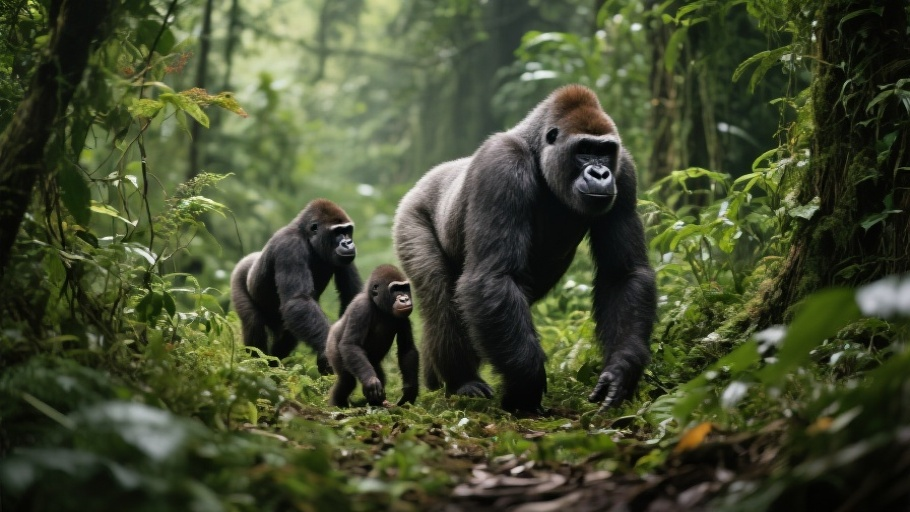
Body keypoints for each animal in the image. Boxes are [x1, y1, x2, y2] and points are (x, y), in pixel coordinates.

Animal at [230, 199, 362, 374]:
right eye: (337, 232)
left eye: (347, 230)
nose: (348, 243)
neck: (308, 238)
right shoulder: (289, 245)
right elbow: (298, 300)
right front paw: (327, 352)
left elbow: (351, 296)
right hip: (238, 278)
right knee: (253, 322)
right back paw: (257, 366)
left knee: (289, 333)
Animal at [325, 264, 419, 407]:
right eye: (395, 289)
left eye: (404, 288)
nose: (404, 299)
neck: (378, 306)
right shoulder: (361, 308)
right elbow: (351, 344)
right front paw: (371, 381)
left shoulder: (404, 317)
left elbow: (407, 349)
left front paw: (410, 390)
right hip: (331, 347)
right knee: (346, 381)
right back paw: (337, 405)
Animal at [392, 84, 656, 413]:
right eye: (584, 150)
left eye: (605, 152)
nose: (600, 174)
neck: (537, 150)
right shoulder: (502, 165)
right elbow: (493, 276)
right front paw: (526, 386)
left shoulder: (625, 171)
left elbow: (623, 274)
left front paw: (622, 369)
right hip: (411, 214)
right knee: (441, 299)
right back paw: (461, 380)